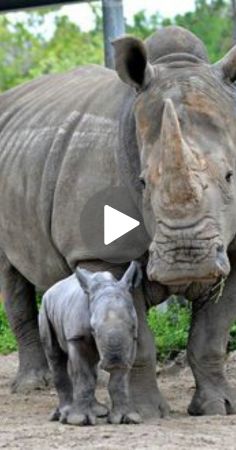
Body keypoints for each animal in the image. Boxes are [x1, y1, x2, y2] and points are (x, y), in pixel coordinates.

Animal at [38, 260, 142, 426]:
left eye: (132, 326)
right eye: (93, 329)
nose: (114, 360)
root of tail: (51, 289)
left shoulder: (132, 341)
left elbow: (119, 379)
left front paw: (128, 418)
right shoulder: (76, 337)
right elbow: (83, 376)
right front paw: (79, 420)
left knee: (92, 365)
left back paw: (99, 411)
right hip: (45, 307)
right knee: (55, 356)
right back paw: (63, 414)